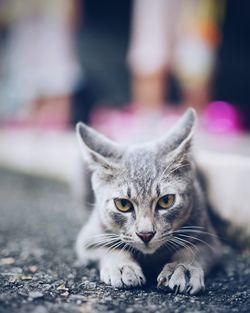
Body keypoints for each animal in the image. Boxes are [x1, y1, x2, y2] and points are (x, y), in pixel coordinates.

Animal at [74, 108, 221, 294]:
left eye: (166, 200)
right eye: (123, 204)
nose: (146, 234)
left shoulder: (207, 238)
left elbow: (192, 250)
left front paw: (183, 268)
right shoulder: (90, 237)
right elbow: (109, 247)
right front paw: (122, 266)